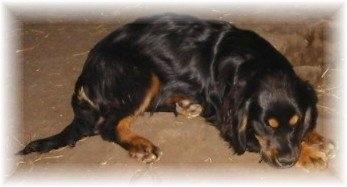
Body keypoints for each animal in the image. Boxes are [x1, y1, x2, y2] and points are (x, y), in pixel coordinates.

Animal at [18, 13, 334, 169]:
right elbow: (252, 141)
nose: (287, 161)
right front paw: (309, 154)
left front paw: (313, 138)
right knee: (107, 125)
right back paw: (140, 145)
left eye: (294, 123)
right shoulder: (227, 118)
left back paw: (185, 105)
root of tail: (87, 70)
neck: (255, 62)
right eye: (266, 125)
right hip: (141, 74)